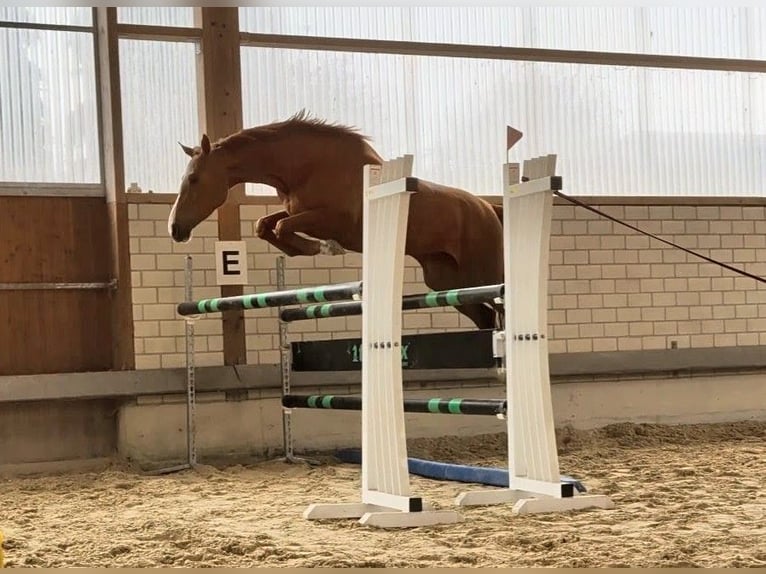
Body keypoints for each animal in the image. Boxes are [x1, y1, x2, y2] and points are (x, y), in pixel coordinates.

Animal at [168, 111, 505, 330]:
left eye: (194, 179)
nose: (175, 229)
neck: (307, 167)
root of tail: (488, 208)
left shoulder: (336, 221)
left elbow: (282, 226)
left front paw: (324, 248)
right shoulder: (298, 210)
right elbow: (266, 225)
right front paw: (309, 248)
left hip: (484, 274)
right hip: (449, 283)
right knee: (486, 318)